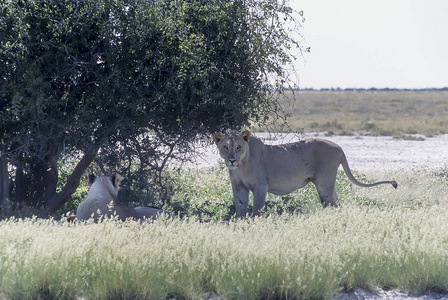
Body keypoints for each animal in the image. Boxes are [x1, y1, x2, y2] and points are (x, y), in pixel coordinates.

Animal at [212, 130, 398, 217]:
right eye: (225, 147)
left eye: (238, 147)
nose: (232, 160)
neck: (242, 165)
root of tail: (338, 147)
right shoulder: (238, 187)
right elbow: (240, 208)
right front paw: (240, 224)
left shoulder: (260, 187)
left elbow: (257, 209)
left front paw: (254, 223)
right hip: (328, 185)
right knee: (337, 204)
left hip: (324, 184)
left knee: (333, 205)